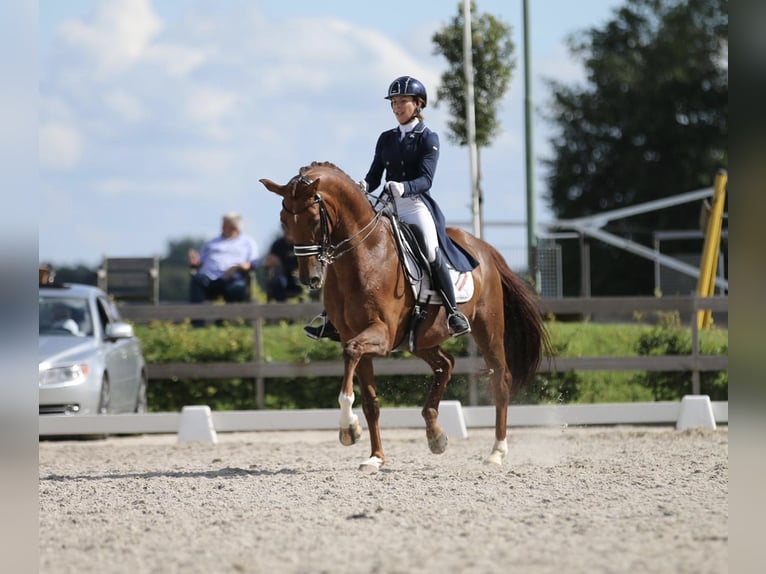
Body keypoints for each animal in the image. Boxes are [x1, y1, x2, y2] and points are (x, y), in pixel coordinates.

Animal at [260, 161, 551, 472]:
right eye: (284, 220)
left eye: (314, 219)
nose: (310, 278)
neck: (365, 254)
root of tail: (483, 248)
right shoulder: (355, 335)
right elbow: (371, 402)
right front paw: (375, 457)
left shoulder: (380, 336)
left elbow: (351, 355)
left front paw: (348, 429)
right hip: (419, 339)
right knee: (445, 365)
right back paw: (435, 435)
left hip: (488, 327)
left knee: (501, 379)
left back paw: (496, 451)